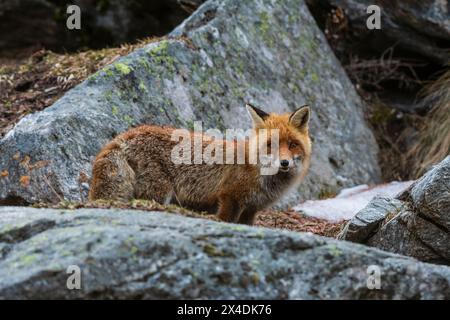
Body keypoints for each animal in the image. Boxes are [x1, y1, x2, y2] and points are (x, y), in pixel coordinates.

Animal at [89, 104, 312, 224]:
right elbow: (224, 219)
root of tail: (124, 136)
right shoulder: (229, 198)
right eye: (270, 145)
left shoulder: (251, 209)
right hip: (159, 193)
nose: (284, 162)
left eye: (292, 144)